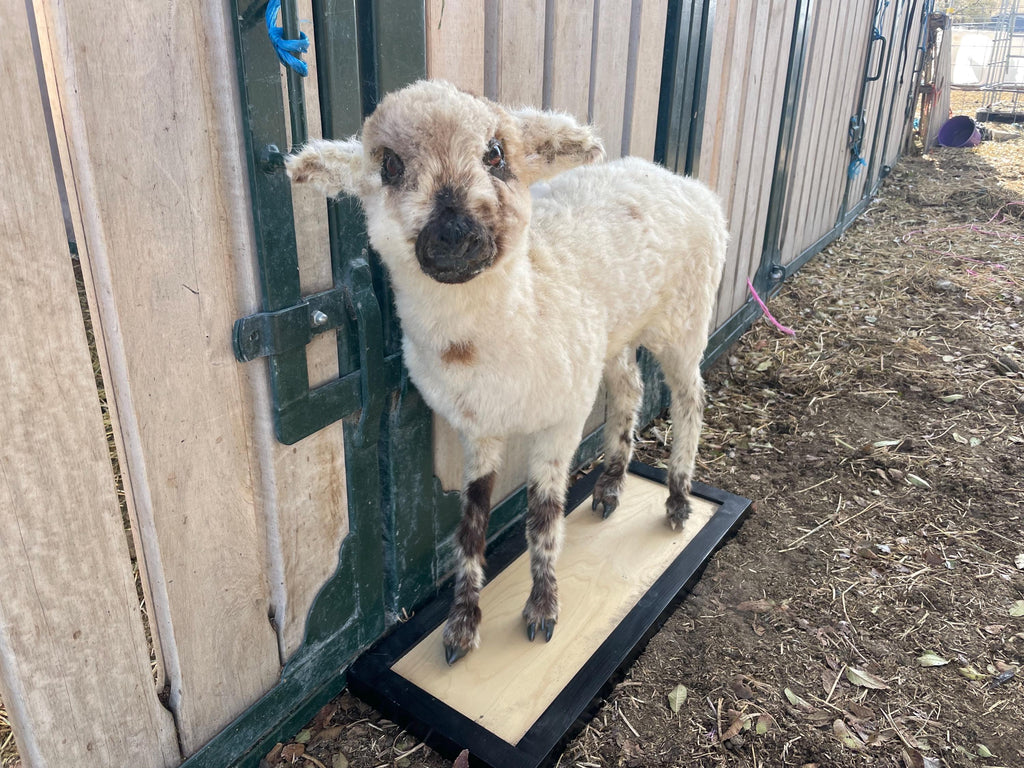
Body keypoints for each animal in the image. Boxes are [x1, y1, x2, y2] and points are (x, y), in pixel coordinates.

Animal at [286, 80, 727, 665]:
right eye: (390, 166)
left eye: (495, 154)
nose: (454, 233)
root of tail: (681, 179)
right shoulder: (476, 427)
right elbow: (472, 522)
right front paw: (460, 627)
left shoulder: (562, 419)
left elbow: (544, 514)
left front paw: (542, 611)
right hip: (612, 332)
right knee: (629, 387)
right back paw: (610, 485)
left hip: (685, 317)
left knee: (689, 397)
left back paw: (678, 498)